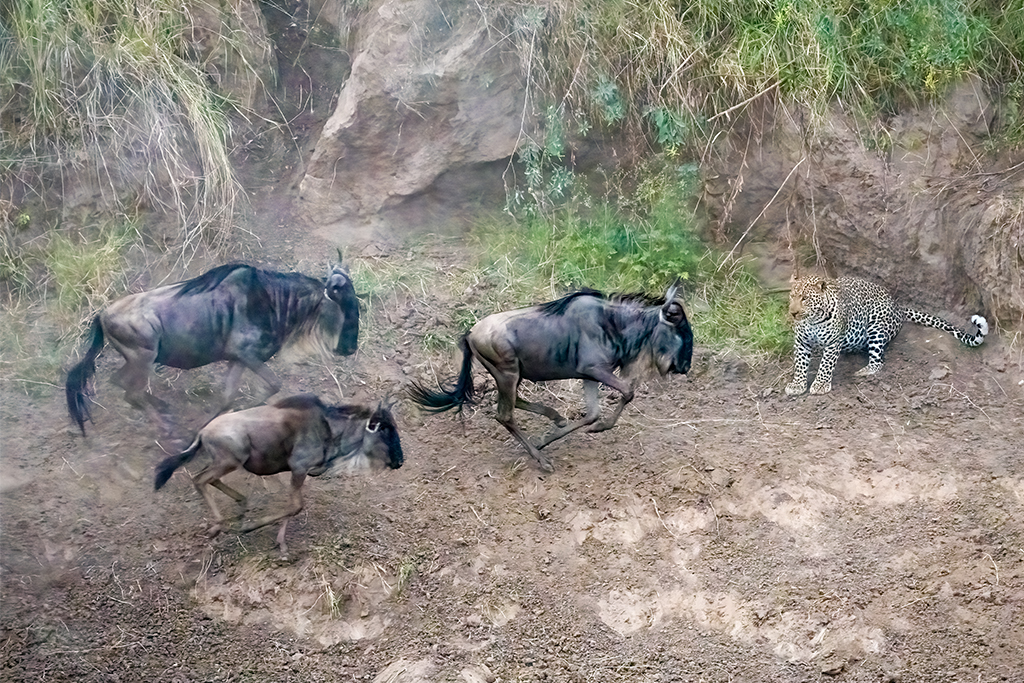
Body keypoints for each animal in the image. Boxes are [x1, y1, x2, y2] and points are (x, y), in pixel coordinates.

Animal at [65, 262, 359, 435]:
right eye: (347, 307)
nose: (350, 348)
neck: (273, 300)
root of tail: (102, 315)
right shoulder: (248, 356)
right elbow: (274, 384)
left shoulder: (238, 359)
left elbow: (229, 396)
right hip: (144, 358)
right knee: (132, 391)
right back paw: (165, 427)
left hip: (138, 360)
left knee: (121, 382)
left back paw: (162, 408)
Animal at [154, 393, 403, 555]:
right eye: (384, 429)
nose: (399, 461)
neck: (329, 428)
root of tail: (203, 432)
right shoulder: (299, 468)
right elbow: (295, 506)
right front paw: (255, 529)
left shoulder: (299, 471)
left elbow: (291, 505)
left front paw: (280, 543)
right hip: (231, 460)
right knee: (200, 480)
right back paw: (219, 524)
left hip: (225, 463)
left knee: (208, 479)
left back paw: (241, 504)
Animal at [408, 285, 693, 471]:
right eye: (681, 331)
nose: (685, 366)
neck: (612, 323)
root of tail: (469, 333)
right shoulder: (595, 369)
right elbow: (627, 392)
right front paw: (548, 442)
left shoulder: (590, 374)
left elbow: (593, 413)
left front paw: (577, 431)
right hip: (507, 373)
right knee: (504, 414)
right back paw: (541, 460)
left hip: (512, 376)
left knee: (511, 403)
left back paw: (555, 418)